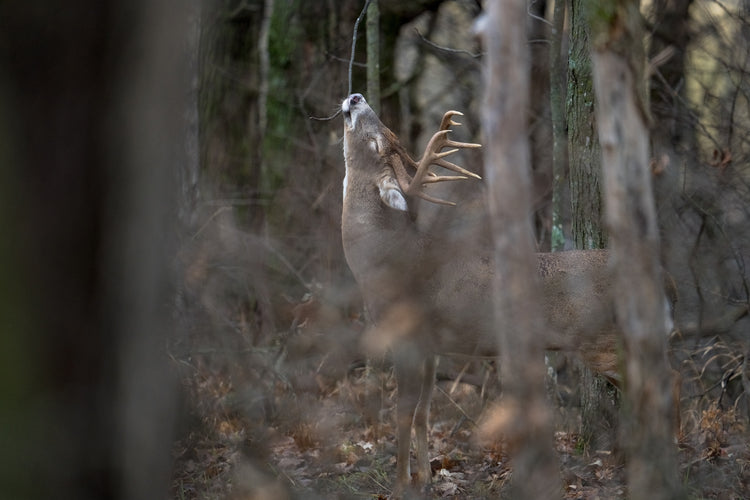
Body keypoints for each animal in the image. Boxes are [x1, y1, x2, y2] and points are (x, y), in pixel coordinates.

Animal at [340, 94, 676, 496]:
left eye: (377, 141)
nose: (355, 97)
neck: (383, 262)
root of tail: (663, 279)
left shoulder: (408, 335)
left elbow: (403, 413)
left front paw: (400, 486)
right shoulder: (432, 346)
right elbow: (423, 411)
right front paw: (426, 480)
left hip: (603, 340)